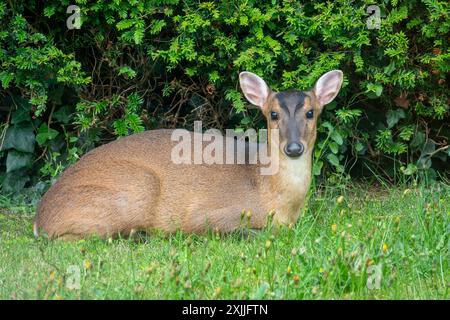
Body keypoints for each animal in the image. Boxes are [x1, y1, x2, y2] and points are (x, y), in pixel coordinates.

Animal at [34, 70, 344, 240]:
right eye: (273, 114)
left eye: (311, 112)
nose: (293, 148)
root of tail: (40, 220)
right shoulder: (205, 215)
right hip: (138, 186)